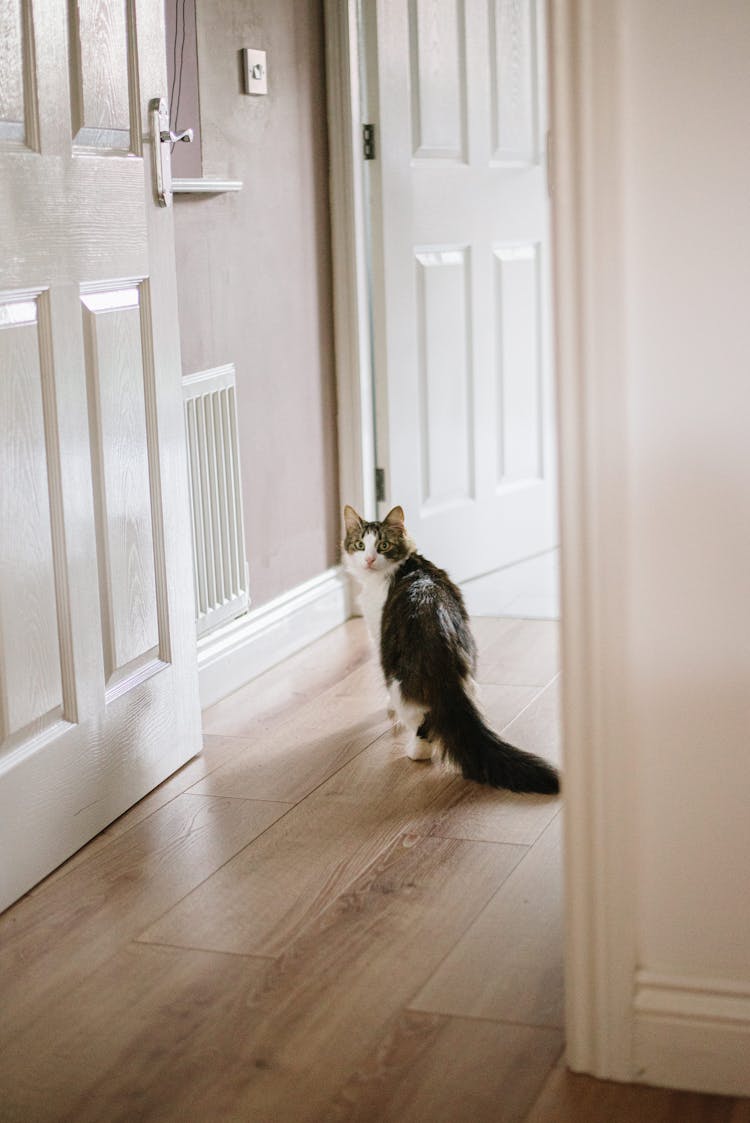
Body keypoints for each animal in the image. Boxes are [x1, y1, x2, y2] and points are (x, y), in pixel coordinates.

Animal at [343, 505, 559, 795]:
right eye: (359, 545)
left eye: (383, 546)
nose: (368, 560)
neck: (404, 568)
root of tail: (437, 629)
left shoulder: (378, 633)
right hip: (468, 666)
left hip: (399, 678)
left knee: (424, 721)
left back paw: (416, 751)